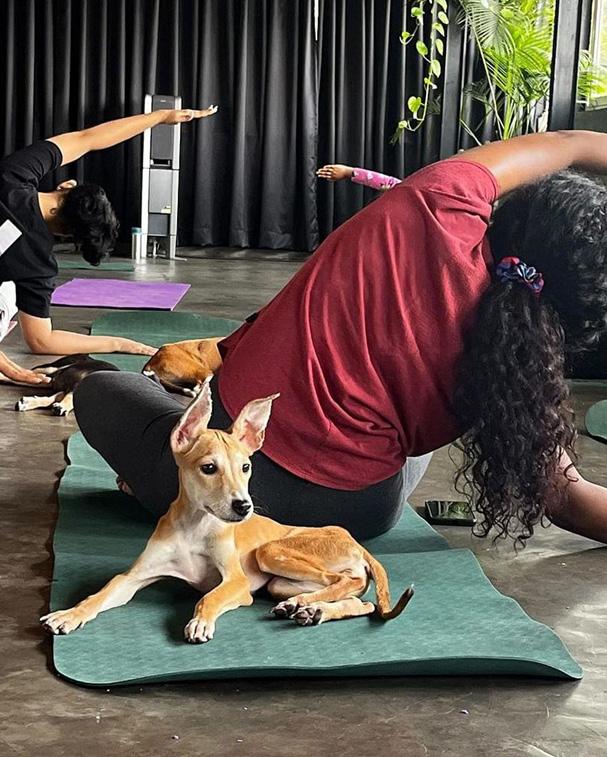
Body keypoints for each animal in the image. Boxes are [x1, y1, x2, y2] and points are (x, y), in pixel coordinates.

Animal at [41, 378, 414, 640]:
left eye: (246, 467)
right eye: (209, 468)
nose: (243, 506)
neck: (195, 528)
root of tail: (357, 544)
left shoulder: (236, 581)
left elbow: (210, 597)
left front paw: (200, 622)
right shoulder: (132, 577)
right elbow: (97, 595)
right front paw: (68, 614)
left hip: (272, 551)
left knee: (346, 581)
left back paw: (306, 605)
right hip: (280, 582)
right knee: (362, 600)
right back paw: (312, 609)